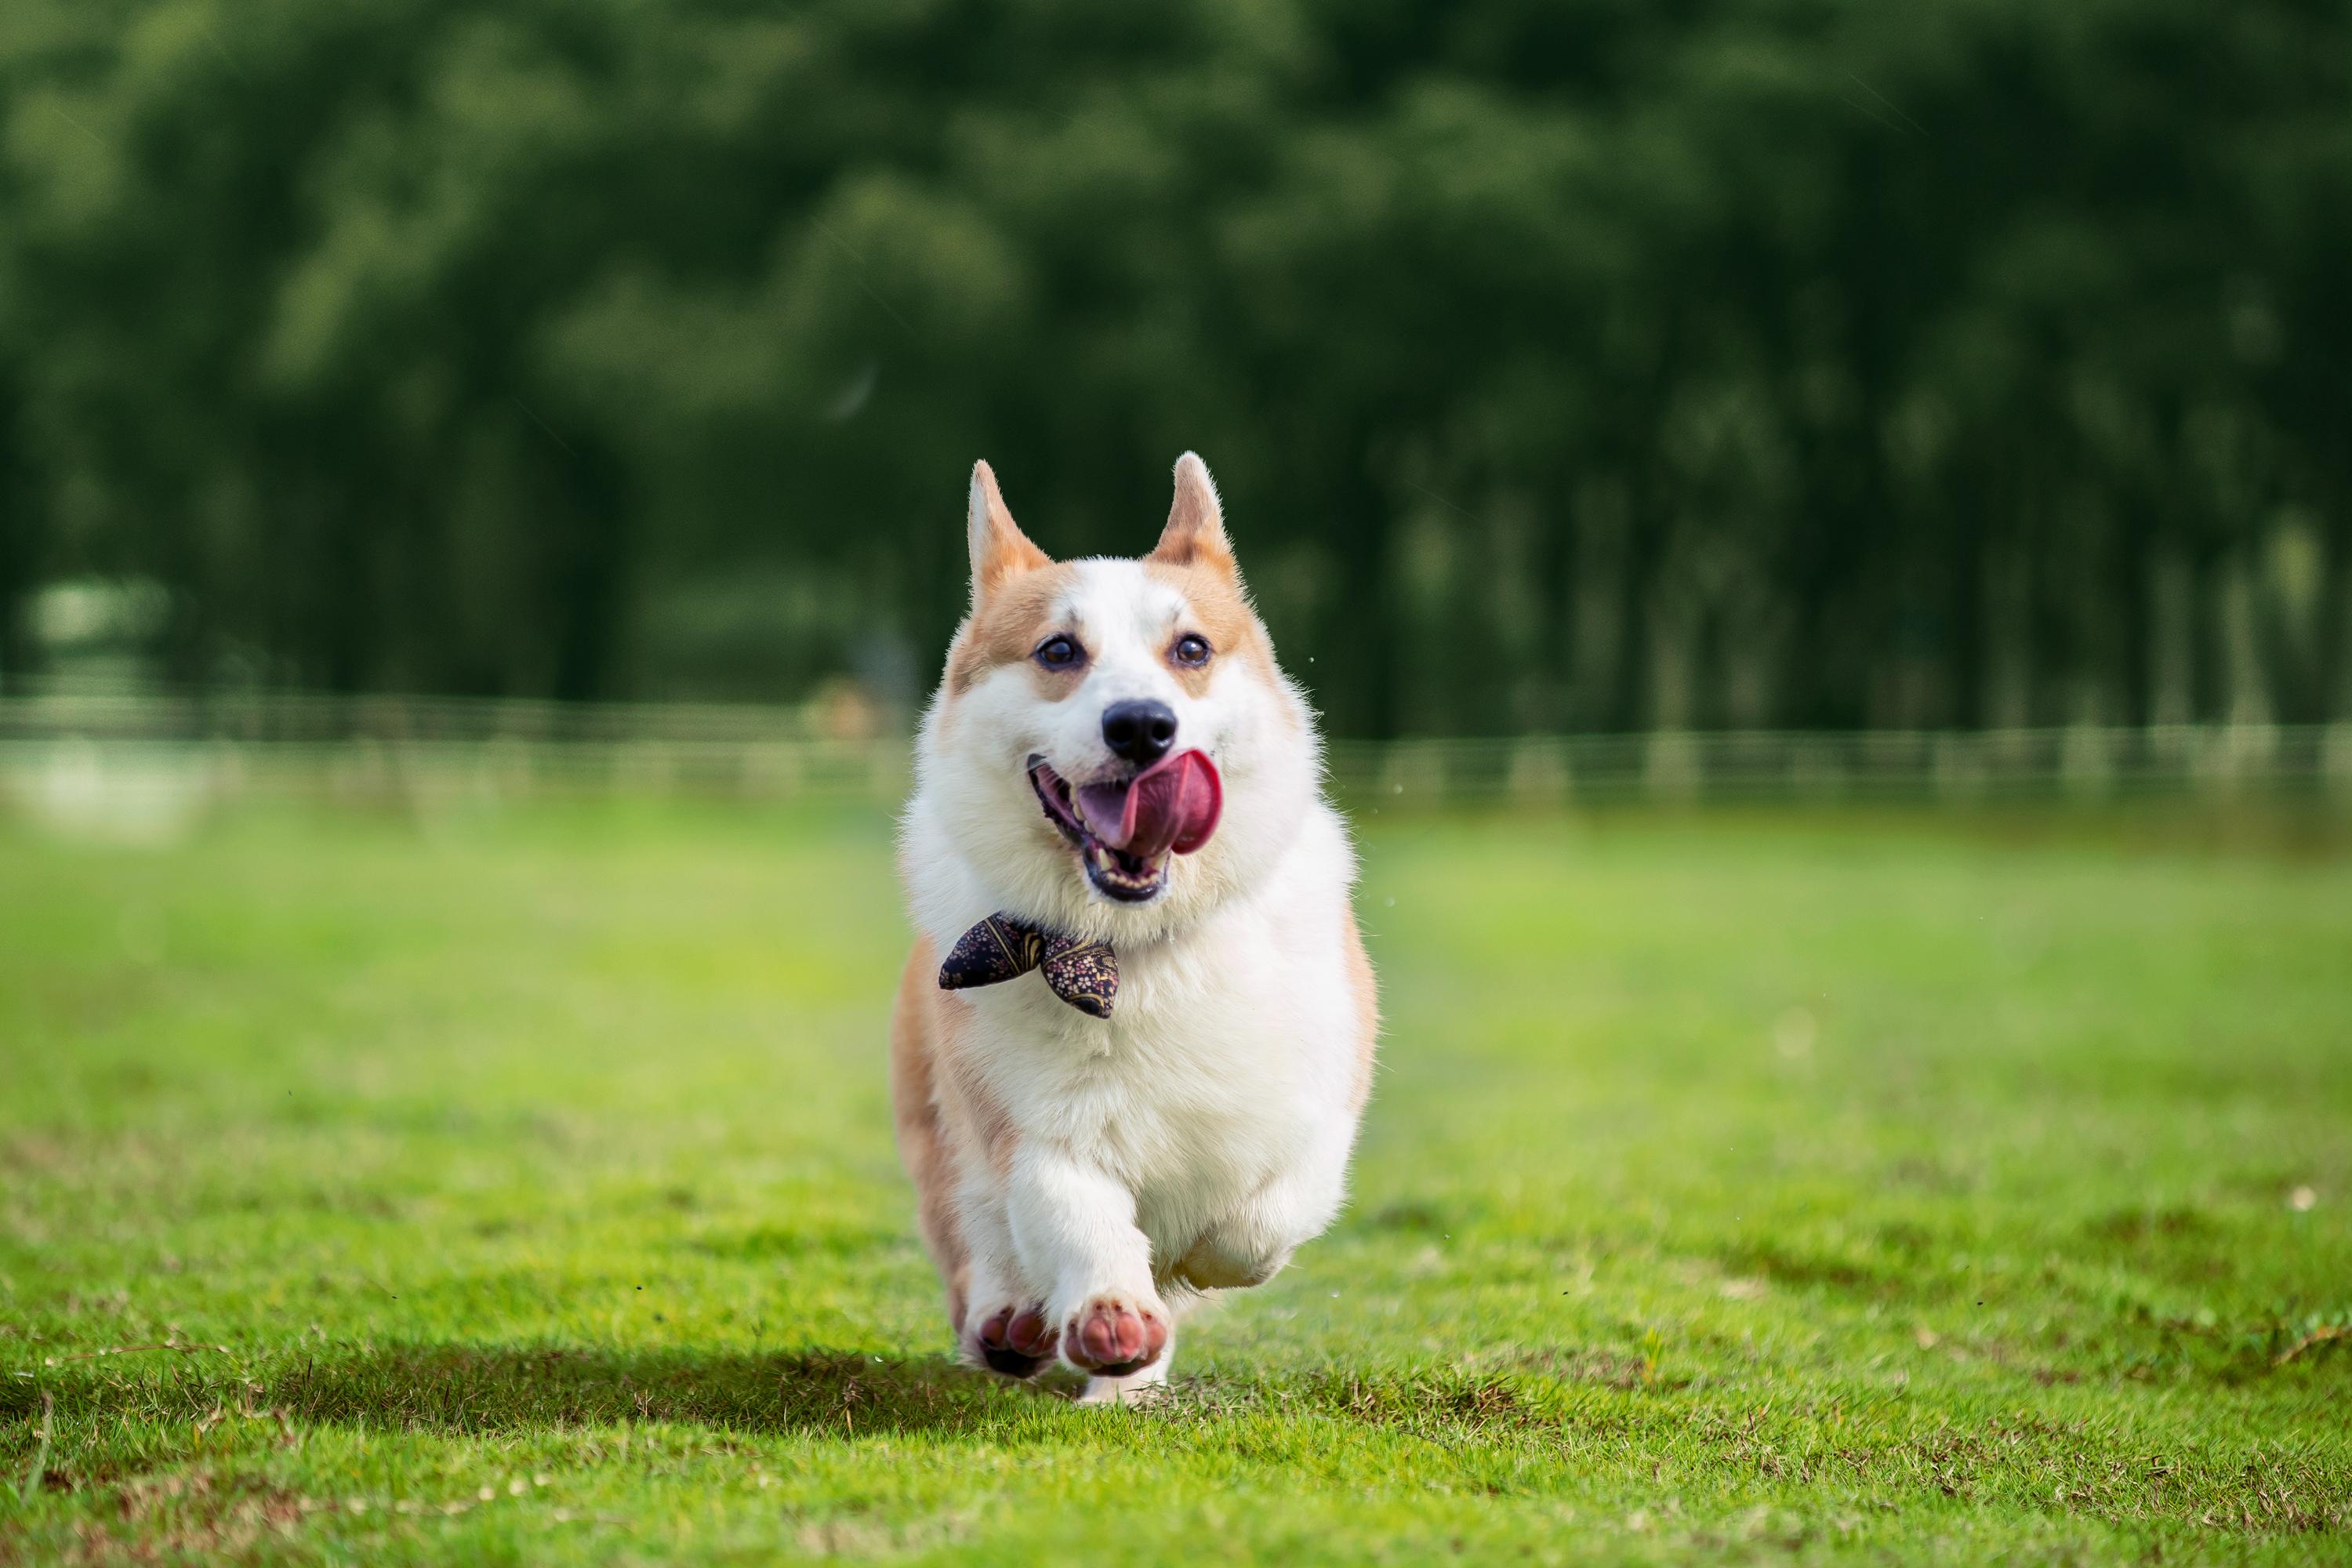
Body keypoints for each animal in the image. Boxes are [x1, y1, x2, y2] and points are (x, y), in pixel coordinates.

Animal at [894, 446, 1374, 1401]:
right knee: (977, 1235)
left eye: (1190, 649)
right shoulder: (1033, 1132)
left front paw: (1193, 1265)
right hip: (939, 1126)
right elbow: (1078, 1220)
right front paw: (1113, 1314)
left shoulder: (1320, 1106)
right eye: (1059, 651)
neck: (1138, 945)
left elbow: (1259, 1221)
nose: (1144, 726)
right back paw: (1015, 1324)